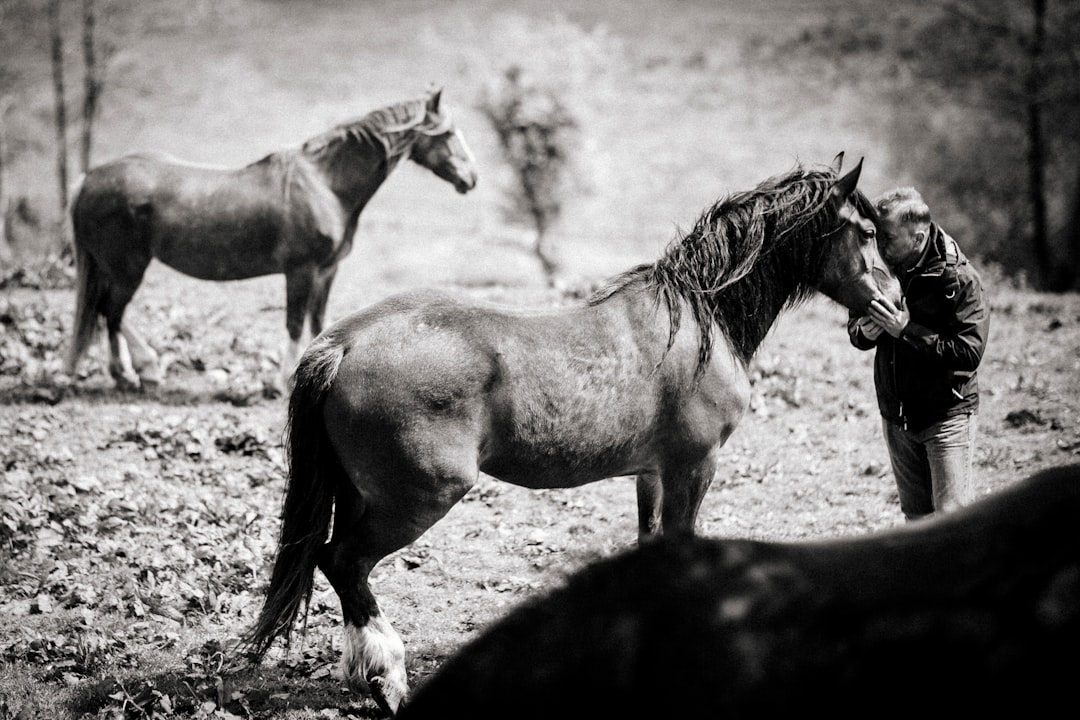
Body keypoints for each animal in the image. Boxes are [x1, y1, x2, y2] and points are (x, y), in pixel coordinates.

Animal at [63, 90, 477, 395]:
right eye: (448, 133)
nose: (471, 178)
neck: (325, 185)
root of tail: (87, 180)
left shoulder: (326, 272)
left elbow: (319, 322)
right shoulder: (301, 271)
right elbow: (294, 324)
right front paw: (280, 382)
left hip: (116, 268)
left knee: (108, 312)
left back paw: (141, 370)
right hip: (128, 267)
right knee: (111, 313)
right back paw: (130, 373)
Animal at [245, 155, 902, 712]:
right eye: (867, 232)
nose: (896, 305)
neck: (700, 319)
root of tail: (344, 344)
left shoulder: (651, 475)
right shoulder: (693, 468)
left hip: (361, 493)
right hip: (417, 499)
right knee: (344, 561)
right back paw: (387, 678)